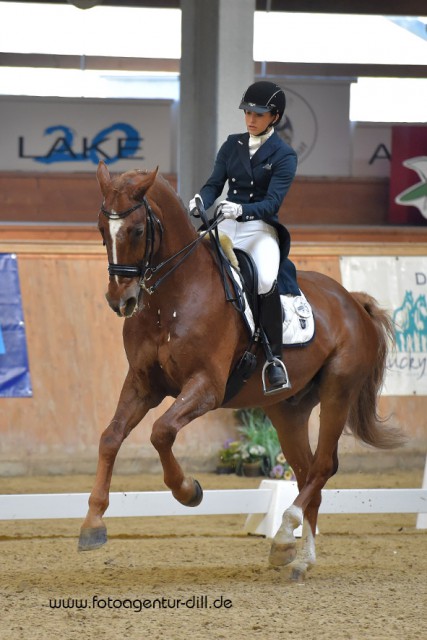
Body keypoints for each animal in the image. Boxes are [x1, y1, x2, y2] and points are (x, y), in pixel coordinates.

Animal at [79, 161, 404, 580]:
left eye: (136, 230)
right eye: (101, 229)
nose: (120, 300)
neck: (171, 300)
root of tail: (351, 300)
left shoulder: (207, 387)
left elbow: (161, 431)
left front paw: (188, 491)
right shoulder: (142, 384)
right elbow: (110, 436)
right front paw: (92, 523)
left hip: (338, 392)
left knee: (322, 466)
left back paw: (285, 533)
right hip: (287, 408)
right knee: (305, 471)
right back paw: (296, 556)